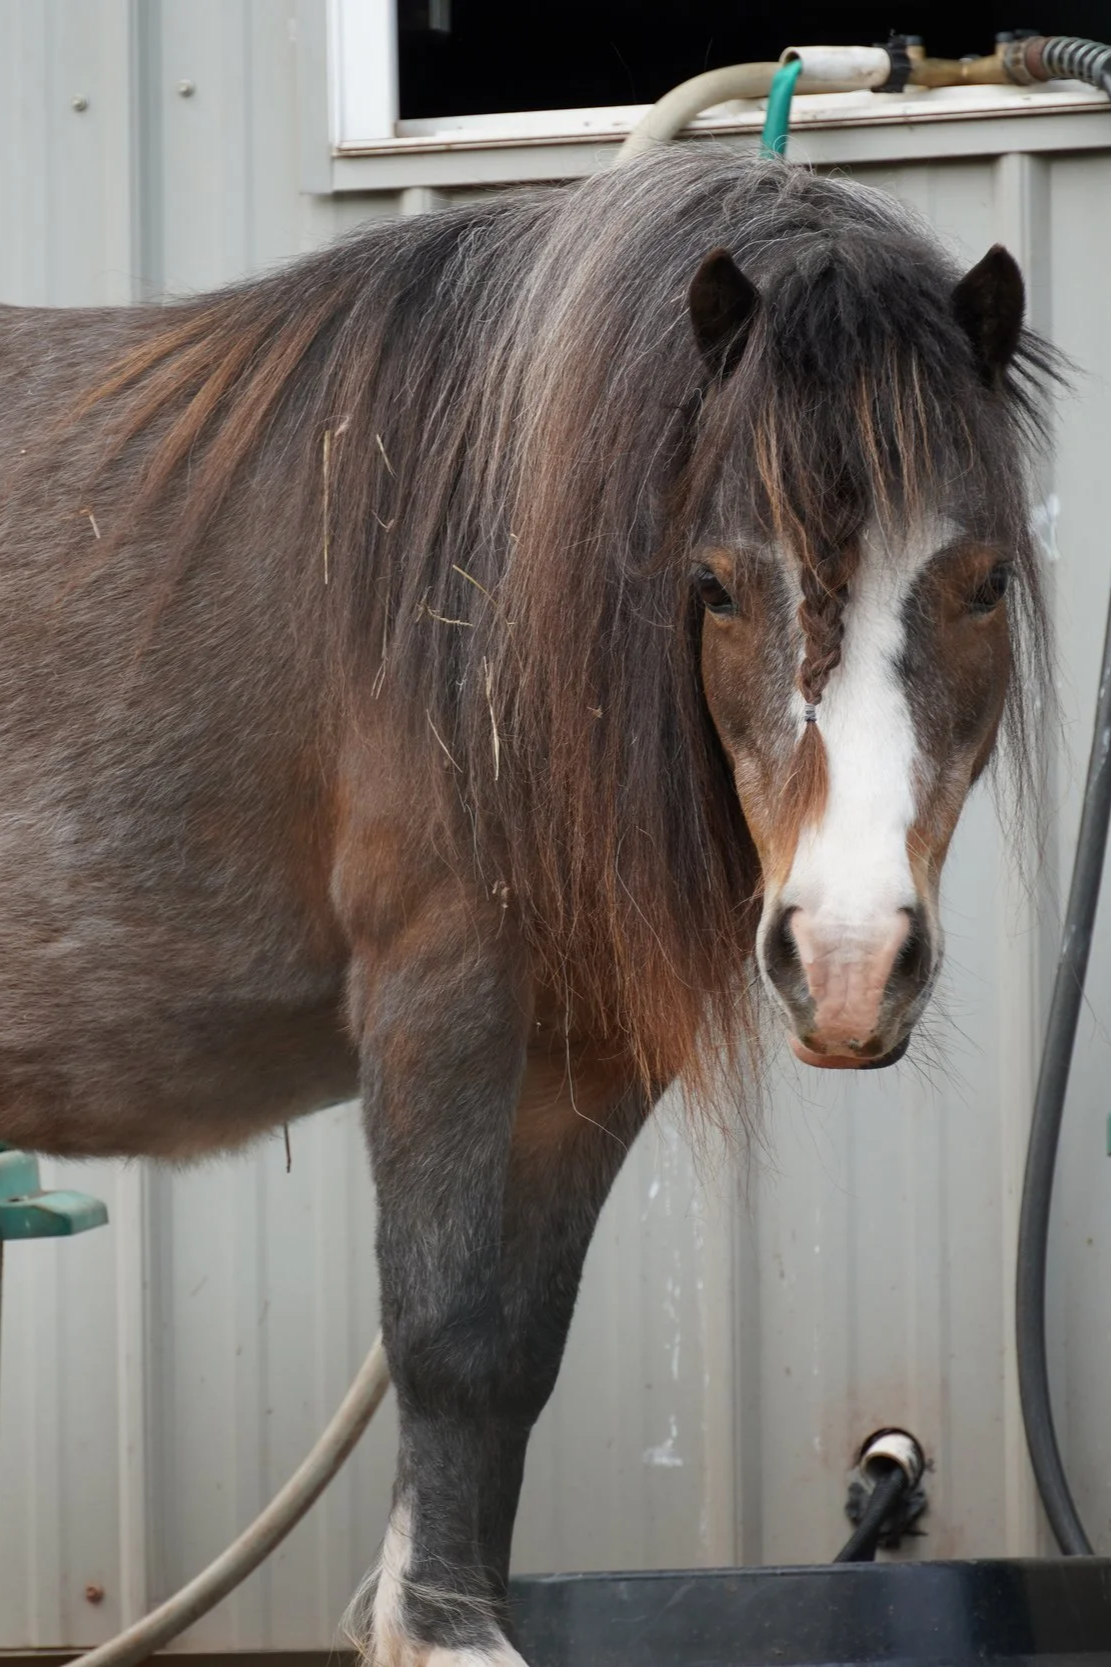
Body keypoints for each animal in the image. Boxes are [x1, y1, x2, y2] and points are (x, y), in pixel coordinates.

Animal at [0, 148, 1054, 1665]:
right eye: (714, 583)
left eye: (982, 582)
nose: (849, 963)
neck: (476, 617)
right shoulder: (438, 1000)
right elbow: (443, 1329)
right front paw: (442, 1629)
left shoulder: (587, 1055)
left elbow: (514, 1353)